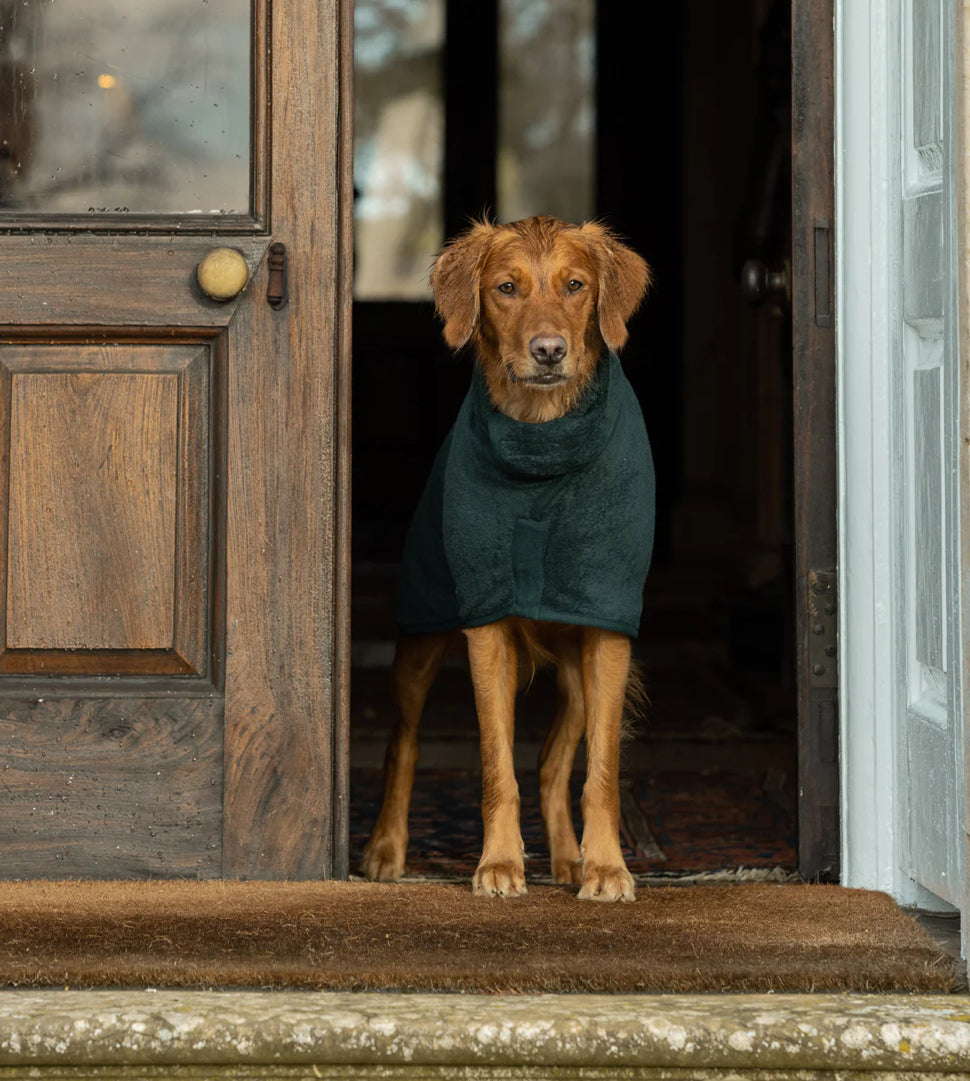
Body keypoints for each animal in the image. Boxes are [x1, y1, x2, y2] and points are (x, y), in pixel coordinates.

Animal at [359, 215, 653, 899]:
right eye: (506, 288)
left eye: (575, 285)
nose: (549, 351)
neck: (542, 440)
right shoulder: (485, 627)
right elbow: (497, 765)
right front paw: (498, 862)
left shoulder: (607, 629)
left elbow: (599, 771)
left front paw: (606, 867)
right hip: (420, 634)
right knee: (402, 744)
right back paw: (386, 849)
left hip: (576, 672)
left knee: (550, 762)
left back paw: (569, 860)